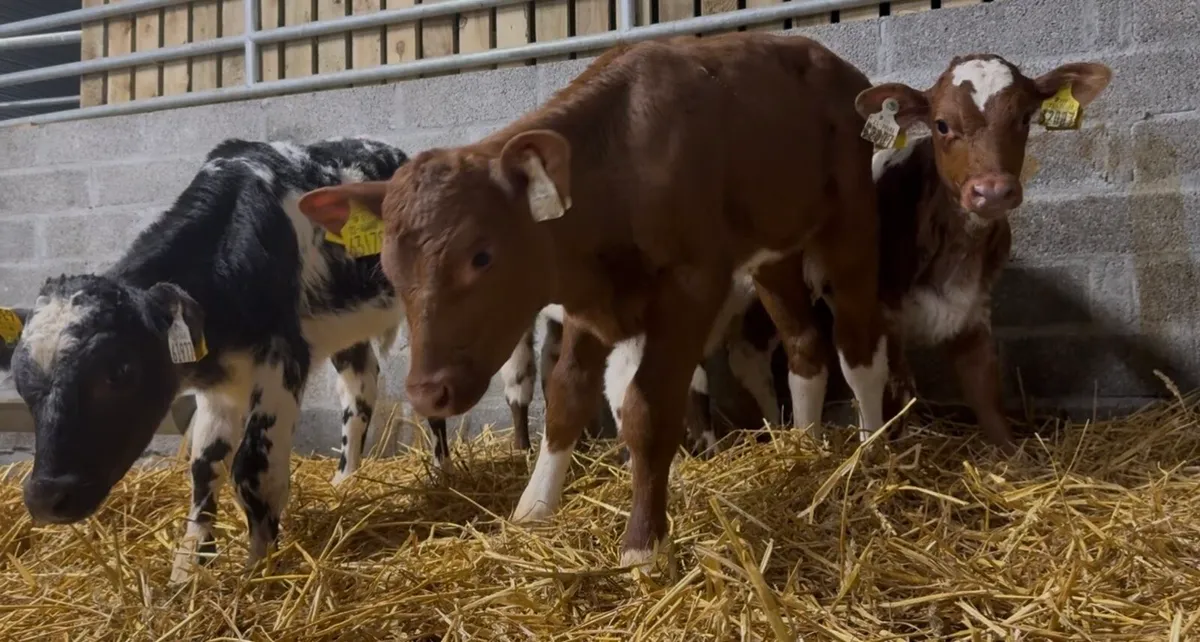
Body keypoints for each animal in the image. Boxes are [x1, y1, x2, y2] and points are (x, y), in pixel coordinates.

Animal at [0, 136, 539, 583]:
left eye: (120, 370)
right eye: (22, 382)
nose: (45, 497)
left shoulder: (283, 357)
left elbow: (252, 468)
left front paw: (257, 569)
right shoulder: (218, 382)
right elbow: (204, 468)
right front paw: (188, 568)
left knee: (495, 375)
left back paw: (471, 462)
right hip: (348, 332)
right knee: (360, 392)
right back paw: (346, 479)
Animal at [297, 32, 889, 568]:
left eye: (481, 255)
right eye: (390, 269)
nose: (425, 392)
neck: (619, 165)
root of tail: (832, 61)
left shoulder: (691, 287)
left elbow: (648, 408)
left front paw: (643, 546)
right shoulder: (589, 302)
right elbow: (564, 399)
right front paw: (534, 509)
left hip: (852, 225)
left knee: (858, 345)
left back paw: (871, 448)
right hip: (773, 251)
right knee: (804, 343)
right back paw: (806, 445)